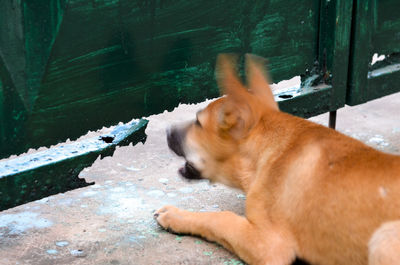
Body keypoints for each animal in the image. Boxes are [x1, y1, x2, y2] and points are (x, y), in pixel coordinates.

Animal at [154, 53, 400, 264]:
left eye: (198, 122)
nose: (167, 131)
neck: (266, 152)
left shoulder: (269, 244)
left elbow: (220, 218)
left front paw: (175, 216)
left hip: (383, 238)